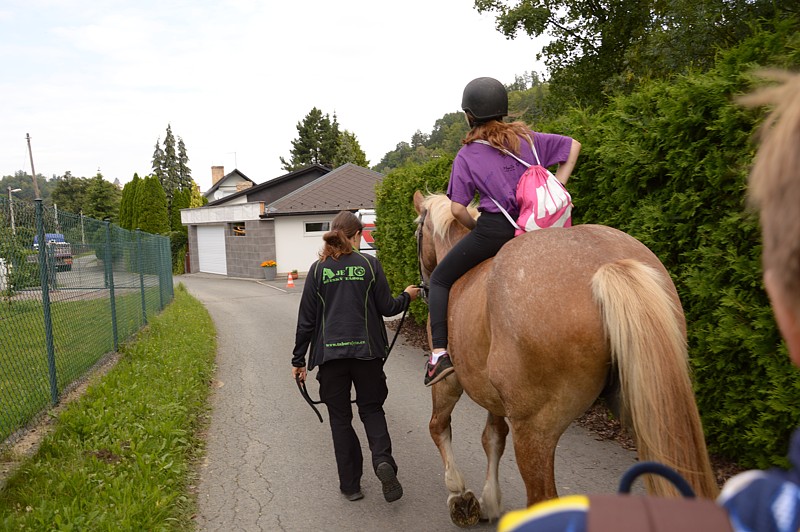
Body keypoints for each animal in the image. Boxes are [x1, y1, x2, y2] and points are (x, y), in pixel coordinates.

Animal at [412, 192, 720, 528]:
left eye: (417, 231)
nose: (423, 285)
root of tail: (607, 263)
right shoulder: (494, 396)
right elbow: (493, 437)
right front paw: (489, 500)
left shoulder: (450, 382)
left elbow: (439, 427)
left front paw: (458, 494)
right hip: (652, 416)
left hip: (535, 429)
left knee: (542, 498)